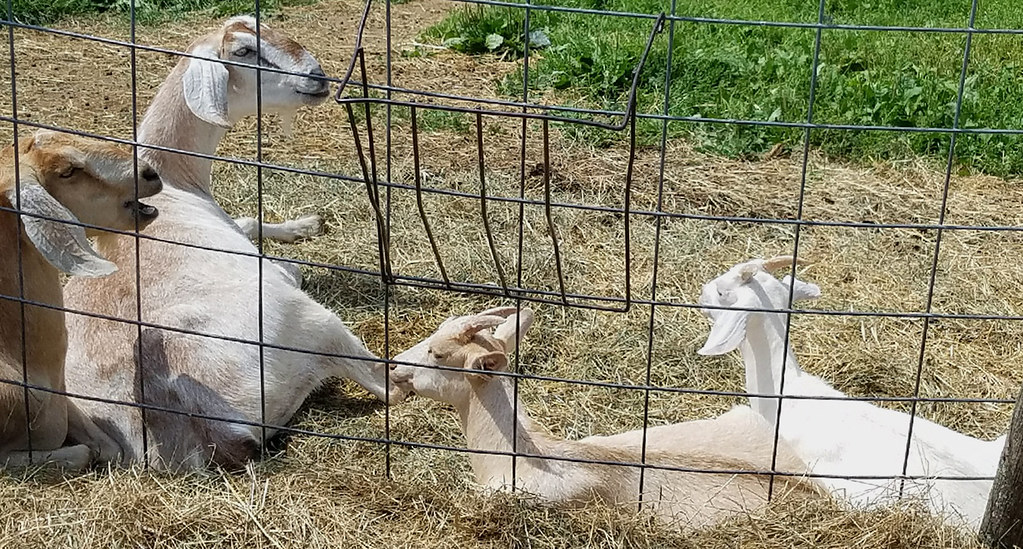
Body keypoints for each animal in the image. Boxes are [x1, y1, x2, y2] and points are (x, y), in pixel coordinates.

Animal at [61, 17, 406, 471]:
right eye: (244, 51)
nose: (317, 77)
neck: (175, 182)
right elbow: (285, 263)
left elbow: (249, 219)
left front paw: (307, 224)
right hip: (309, 322)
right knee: (390, 386)